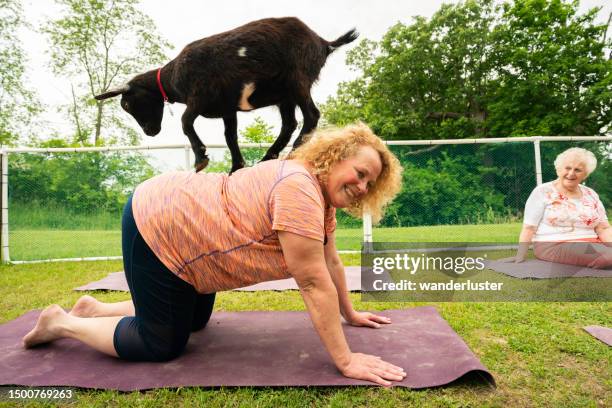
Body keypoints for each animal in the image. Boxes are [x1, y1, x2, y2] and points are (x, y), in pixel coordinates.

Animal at [95, 15, 358, 171]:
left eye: (127, 105)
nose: (150, 132)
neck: (173, 75)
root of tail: (323, 43)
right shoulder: (227, 109)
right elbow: (230, 136)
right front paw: (236, 167)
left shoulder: (198, 96)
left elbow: (185, 122)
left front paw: (201, 159)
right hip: (285, 96)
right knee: (289, 123)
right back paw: (268, 157)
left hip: (297, 81)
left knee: (311, 115)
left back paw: (292, 153)